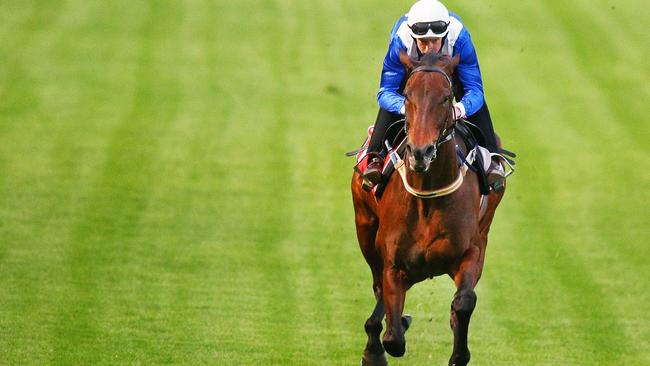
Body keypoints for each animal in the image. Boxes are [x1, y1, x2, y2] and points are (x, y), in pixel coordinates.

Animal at [350, 52, 506, 366]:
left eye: (446, 98)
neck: (427, 195)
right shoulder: (392, 263)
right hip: (365, 227)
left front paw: (459, 351)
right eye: (407, 96)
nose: (421, 152)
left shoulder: (470, 250)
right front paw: (378, 347)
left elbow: (464, 301)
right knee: (378, 287)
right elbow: (393, 337)